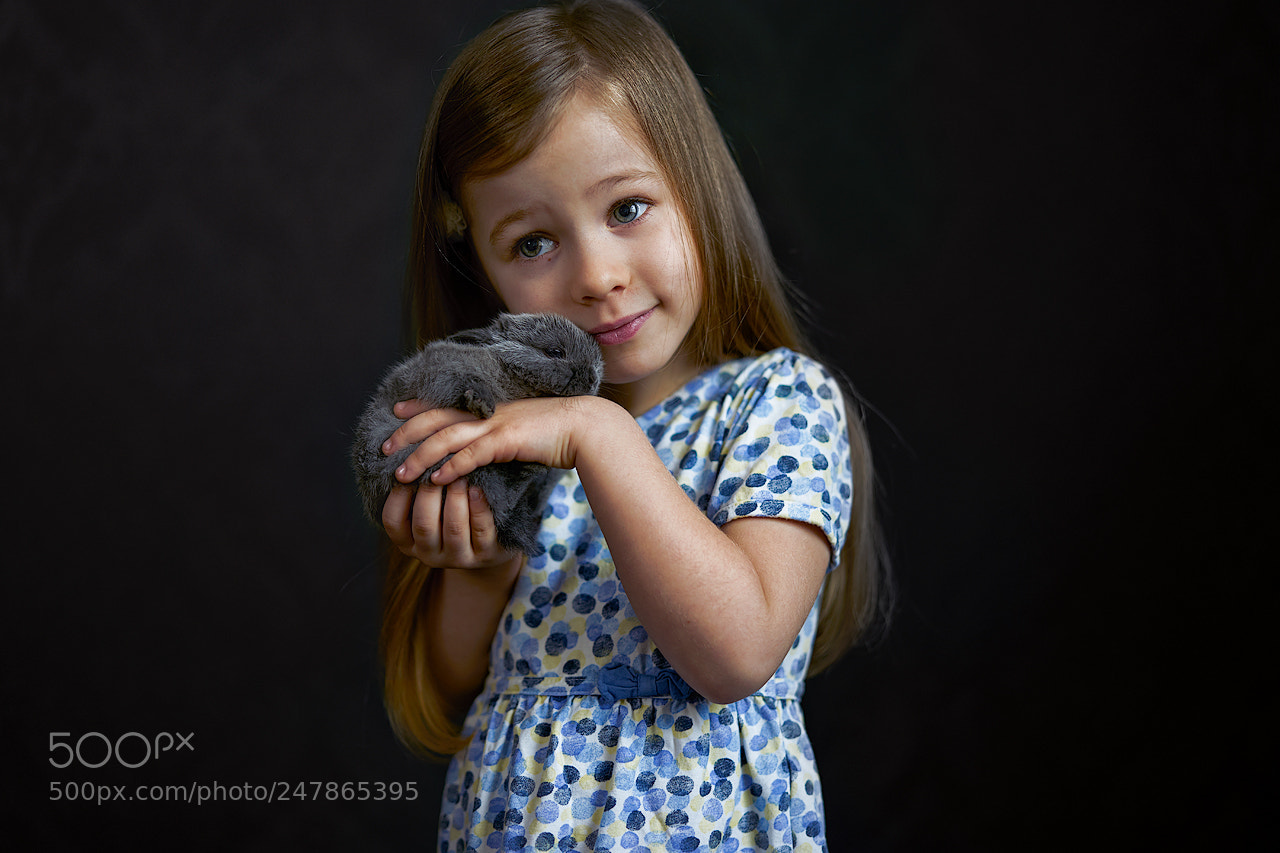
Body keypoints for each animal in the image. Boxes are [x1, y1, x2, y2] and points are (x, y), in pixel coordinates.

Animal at [351, 312, 604, 555]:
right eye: (555, 352)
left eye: (597, 364)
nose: (593, 379)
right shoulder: (444, 369)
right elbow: (466, 381)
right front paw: (481, 404)